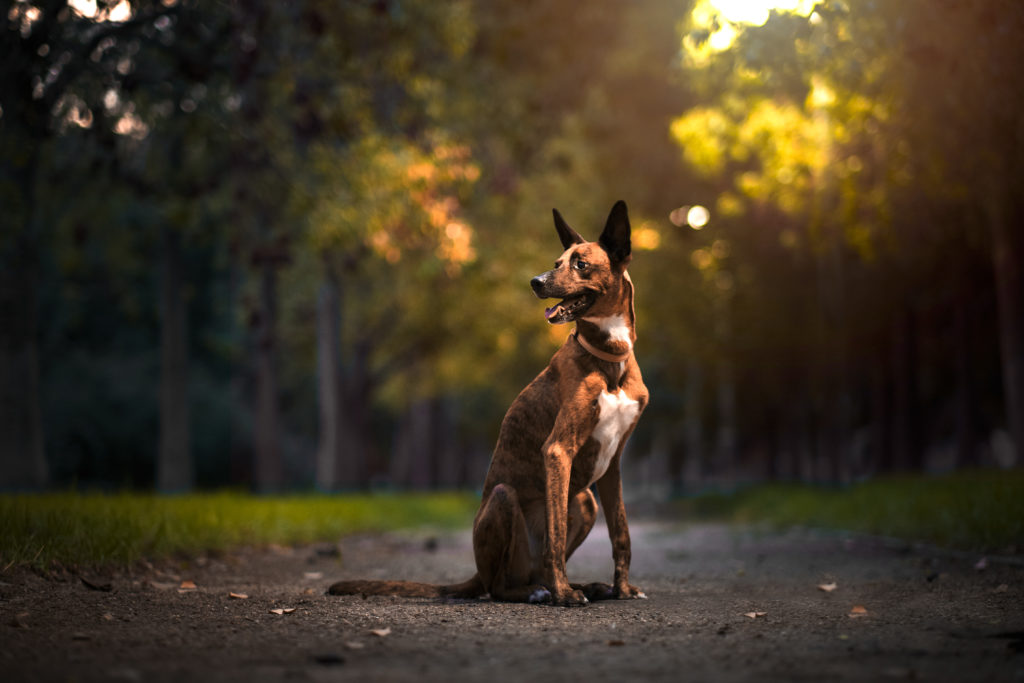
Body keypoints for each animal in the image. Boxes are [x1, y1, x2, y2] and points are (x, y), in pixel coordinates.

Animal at [327, 200, 647, 606]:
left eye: (580, 264)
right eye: (557, 262)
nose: (536, 282)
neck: (609, 358)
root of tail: (476, 573)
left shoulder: (613, 464)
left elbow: (621, 532)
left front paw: (622, 589)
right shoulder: (558, 450)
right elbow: (556, 536)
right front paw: (564, 595)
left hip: (585, 500)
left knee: (535, 568)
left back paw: (583, 585)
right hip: (504, 497)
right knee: (498, 587)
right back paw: (546, 591)